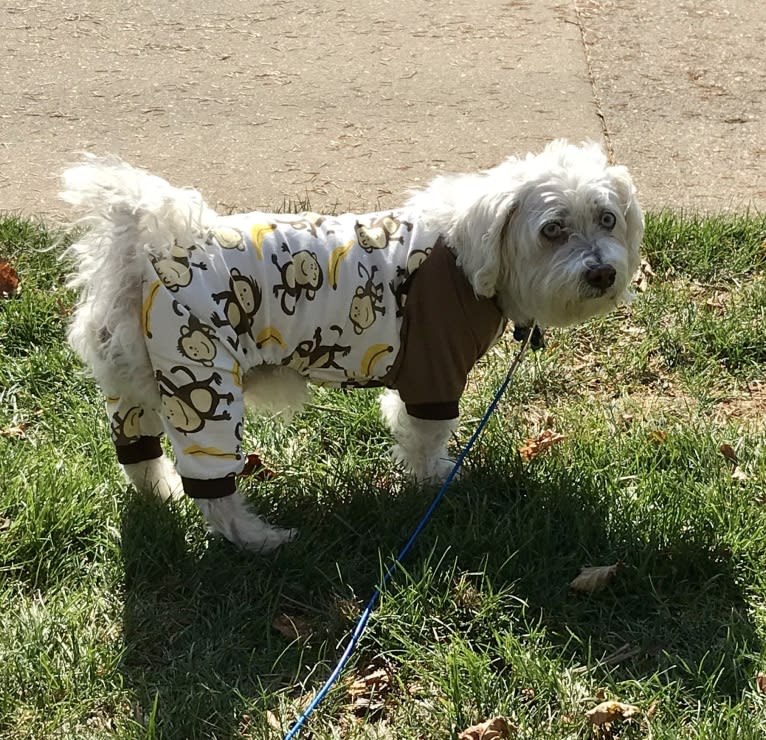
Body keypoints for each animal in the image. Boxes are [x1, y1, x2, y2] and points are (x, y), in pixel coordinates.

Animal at [63, 142, 644, 552]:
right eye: (552, 230)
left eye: (607, 219)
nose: (602, 273)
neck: (468, 257)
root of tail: (146, 256)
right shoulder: (435, 369)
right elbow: (426, 439)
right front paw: (437, 482)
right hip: (202, 383)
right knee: (213, 493)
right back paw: (260, 539)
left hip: (136, 391)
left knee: (138, 457)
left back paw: (158, 492)